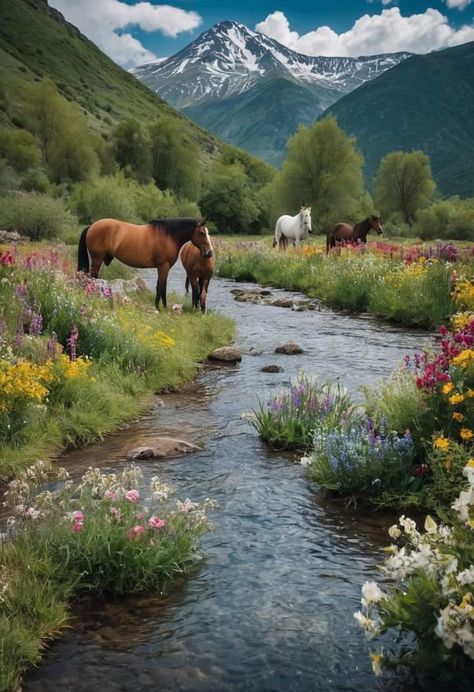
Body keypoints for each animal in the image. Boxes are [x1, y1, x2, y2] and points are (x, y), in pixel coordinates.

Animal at [78, 218, 213, 310]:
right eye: (202, 233)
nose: (209, 253)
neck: (168, 236)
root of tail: (92, 226)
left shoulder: (160, 267)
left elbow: (158, 286)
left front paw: (157, 306)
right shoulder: (164, 266)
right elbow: (163, 287)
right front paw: (163, 308)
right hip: (97, 260)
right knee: (93, 278)